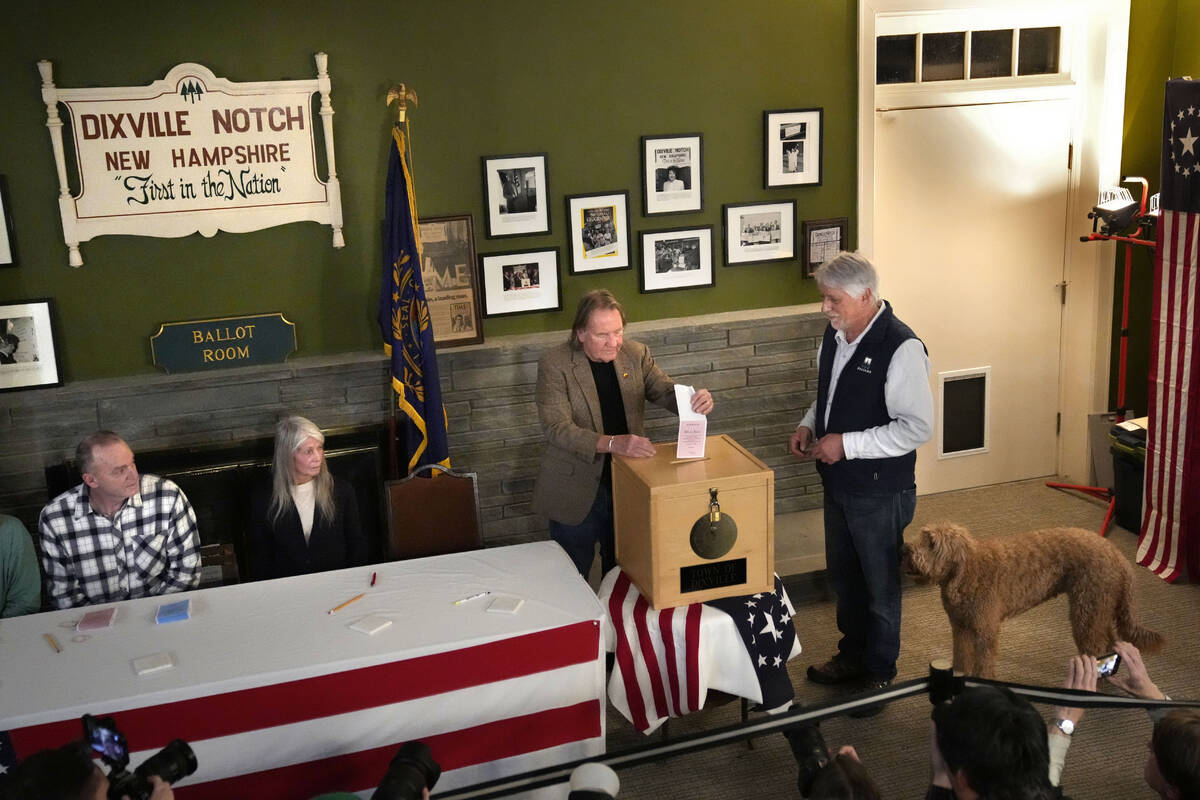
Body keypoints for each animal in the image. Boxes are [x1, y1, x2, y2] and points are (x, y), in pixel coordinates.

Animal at [902, 522, 1161, 681]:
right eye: (923, 536)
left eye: (932, 543)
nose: (905, 550)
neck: (968, 572)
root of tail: (1118, 557)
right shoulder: (960, 628)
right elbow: (960, 656)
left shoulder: (985, 631)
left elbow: (984, 664)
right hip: (1098, 610)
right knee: (1109, 642)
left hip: (1087, 611)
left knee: (1096, 648)